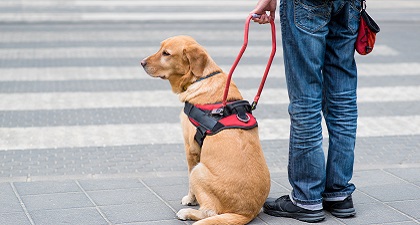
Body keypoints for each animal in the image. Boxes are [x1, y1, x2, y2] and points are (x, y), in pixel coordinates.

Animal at [139, 35, 270, 225]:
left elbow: (190, 184)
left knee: (210, 212)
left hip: (198, 171)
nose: (141, 62)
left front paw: (190, 199)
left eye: (166, 53)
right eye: (160, 48)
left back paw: (187, 213)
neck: (201, 78)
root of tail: (246, 213)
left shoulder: (191, 148)